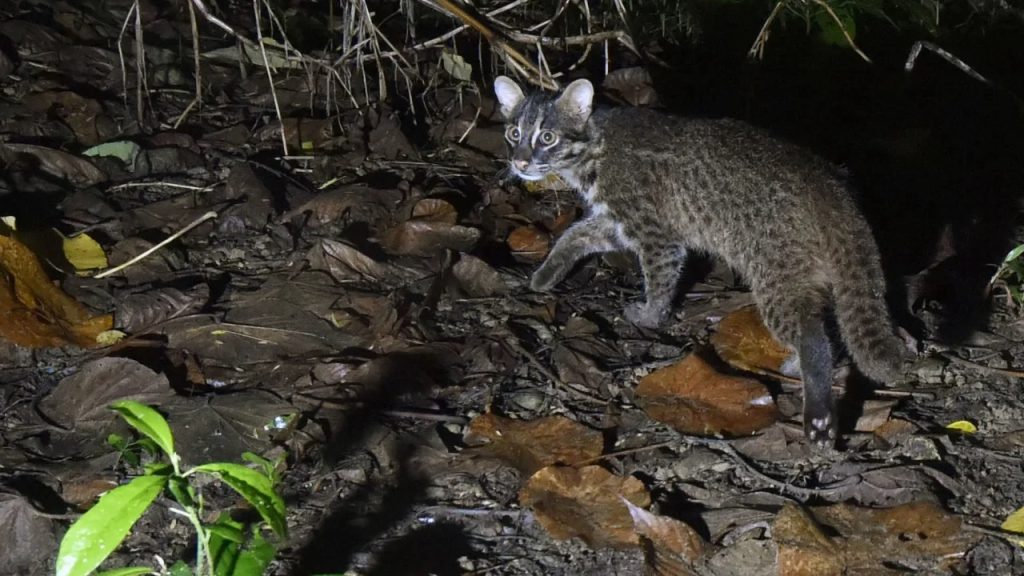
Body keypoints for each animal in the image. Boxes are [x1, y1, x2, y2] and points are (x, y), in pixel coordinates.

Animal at [495, 75, 905, 444]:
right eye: (514, 133)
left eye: (547, 137)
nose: (519, 163)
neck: (594, 143)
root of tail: (832, 191)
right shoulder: (615, 222)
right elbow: (574, 235)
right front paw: (546, 273)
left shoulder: (655, 232)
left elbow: (659, 278)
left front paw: (650, 315)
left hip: (775, 274)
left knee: (812, 336)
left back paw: (815, 406)